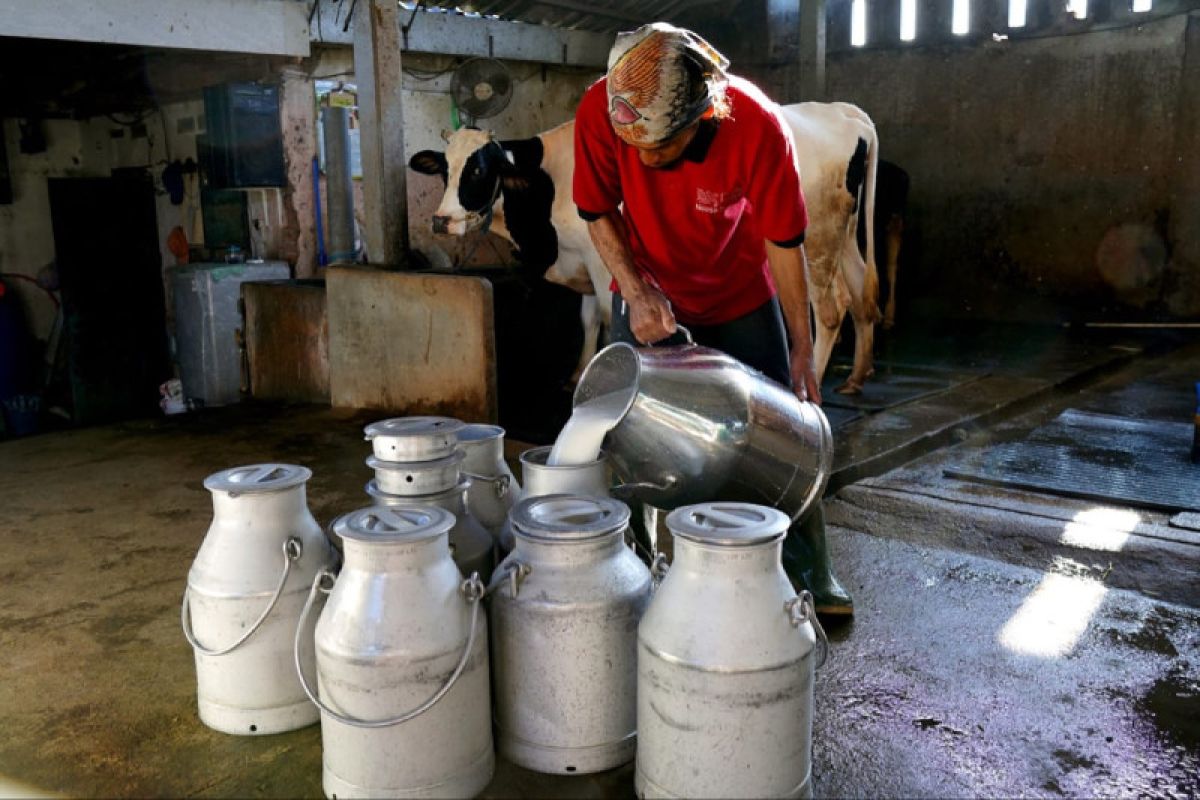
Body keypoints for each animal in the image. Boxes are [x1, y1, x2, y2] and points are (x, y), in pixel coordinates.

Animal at [410, 122, 609, 379]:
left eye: (478, 171)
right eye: (445, 170)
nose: (441, 220)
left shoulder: (601, 263)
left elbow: (610, 317)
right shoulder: (581, 259)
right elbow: (590, 319)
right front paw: (581, 372)